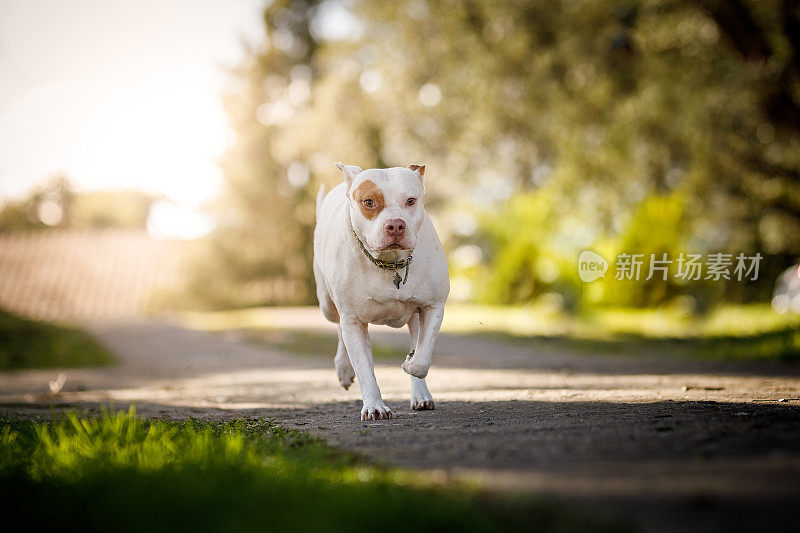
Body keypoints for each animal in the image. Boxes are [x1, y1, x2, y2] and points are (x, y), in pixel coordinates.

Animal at [312, 162, 450, 420]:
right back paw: (344, 368)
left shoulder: (434, 305)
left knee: (416, 339)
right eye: (369, 202)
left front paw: (410, 363)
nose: (396, 225)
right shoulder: (353, 320)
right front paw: (374, 406)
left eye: (410, 200)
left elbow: (421, 358)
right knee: (338, 328)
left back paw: (421, 395)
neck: (389, 263)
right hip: (327, 304)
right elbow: (364, 368)